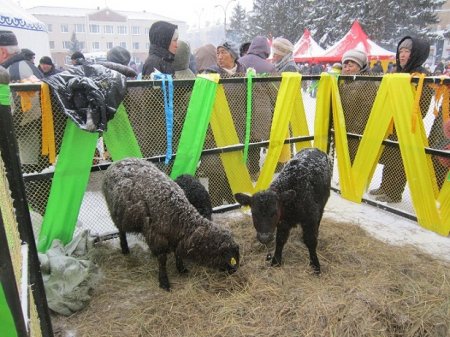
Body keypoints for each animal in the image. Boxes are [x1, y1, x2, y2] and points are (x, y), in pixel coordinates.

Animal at [102, 156, 239, 290]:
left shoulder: (176, 237)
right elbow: (162, 260)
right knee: (121, 231)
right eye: (230, 256)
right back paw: (125, 249)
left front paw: (181, 269)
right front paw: (164, 282)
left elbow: (177, 253)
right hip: (116, 213)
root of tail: (120, 160)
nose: (234, 271)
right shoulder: (158, 237)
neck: (180, 217)